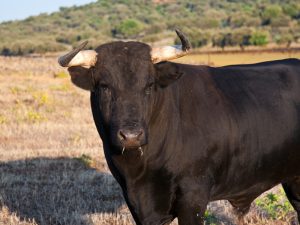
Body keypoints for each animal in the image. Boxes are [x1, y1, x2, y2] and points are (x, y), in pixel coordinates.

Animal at [57, 30, 300, 225]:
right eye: (105, 86)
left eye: (149, 85)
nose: (131, 136)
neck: (141, 169)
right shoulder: (138, 203)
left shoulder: (194, 197)